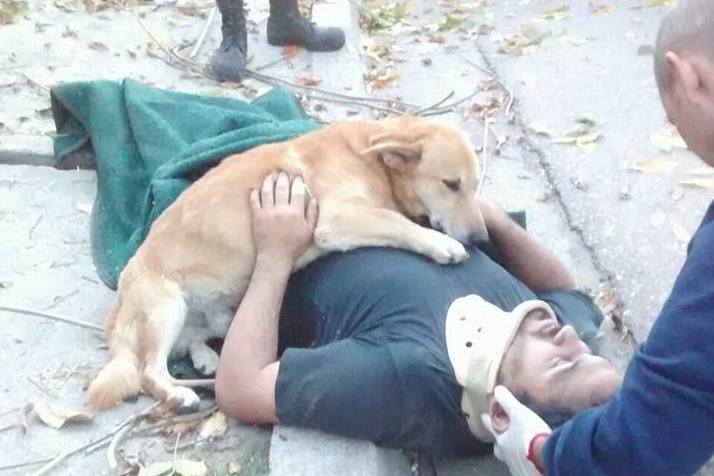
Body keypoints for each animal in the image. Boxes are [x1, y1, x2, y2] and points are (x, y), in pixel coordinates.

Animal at [87, 116, 490, 412]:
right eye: (451, 184)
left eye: (474, 185)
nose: (482, 238)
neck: (370, 158)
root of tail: (118, 306)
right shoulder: (337, 218)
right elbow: (398, 223)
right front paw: (441, 244)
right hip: (166, 307)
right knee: (148, 371)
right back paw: (179, 392)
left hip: (217, 315)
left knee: (187, 343)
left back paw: (204, 358)